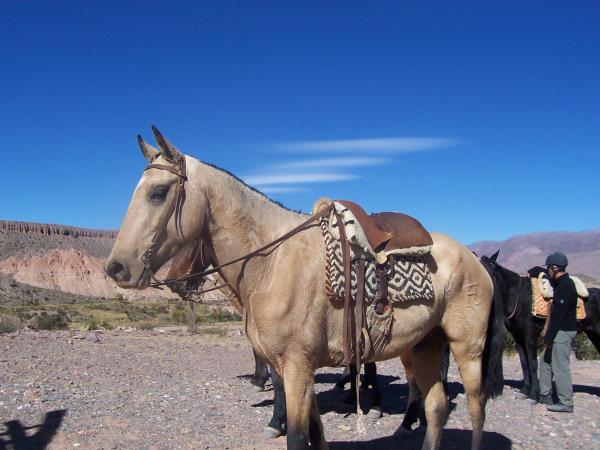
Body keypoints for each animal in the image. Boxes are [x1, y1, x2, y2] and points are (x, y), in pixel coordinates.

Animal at [106, 126, 502, 450]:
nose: (116, 268)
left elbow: (297, 437)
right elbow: (315, 435)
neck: (271, 261)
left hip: (467, 346)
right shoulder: (293, 368)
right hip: (424, 345)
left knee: (476, 407)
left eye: (158, 192)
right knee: (436, 407)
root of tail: (475, 260)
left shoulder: (297, 366)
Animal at [480, 251, 600, 402]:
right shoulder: (518, 337)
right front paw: (524, 391)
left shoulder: (530, 336)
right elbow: (524, 363)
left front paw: (533, 394)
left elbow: (532, 364)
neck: (518, 297)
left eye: (489, 269)